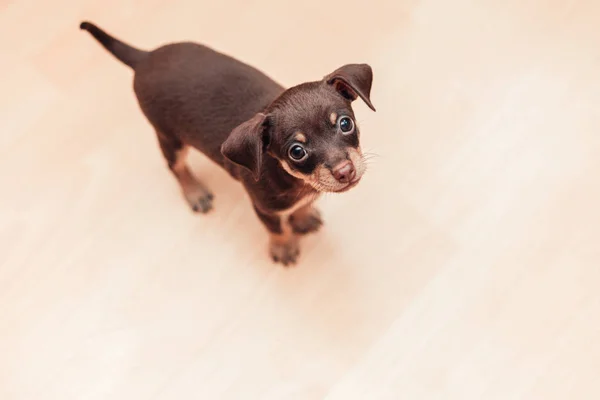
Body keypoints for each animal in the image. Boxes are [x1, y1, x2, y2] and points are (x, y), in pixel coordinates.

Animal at [81, 21, 376, 266]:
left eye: (345, 124)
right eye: (297, 152)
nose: (345, 172)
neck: (293, 179)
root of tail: (145, 57)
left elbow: (303, 205)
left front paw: (303, 218)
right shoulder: (264, 209)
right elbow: (277, 230)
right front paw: (283, 248)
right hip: (169, 137)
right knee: (176, 167)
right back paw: (194, 192)